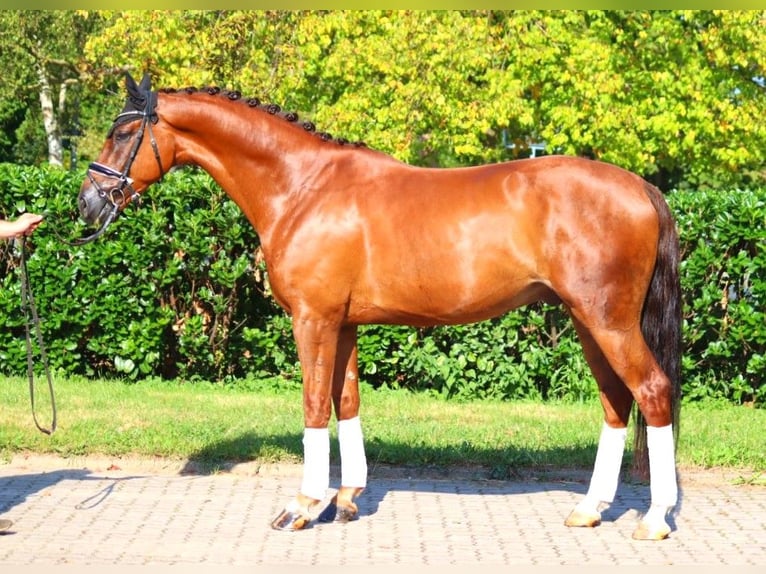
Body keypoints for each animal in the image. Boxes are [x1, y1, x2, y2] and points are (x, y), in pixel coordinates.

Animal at [79, 71, 684, 540]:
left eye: (123, 132)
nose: (86, 204)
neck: (302, 187)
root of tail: (642, 188)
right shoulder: (343, 324)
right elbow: (346, 401)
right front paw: (346, 499)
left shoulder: (313, 321)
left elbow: (314, 406)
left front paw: (302, 507)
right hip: (588, 321)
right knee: (616, 403)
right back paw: (589, 510)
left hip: (608, 322)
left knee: (652, 393)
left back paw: (654, 519)